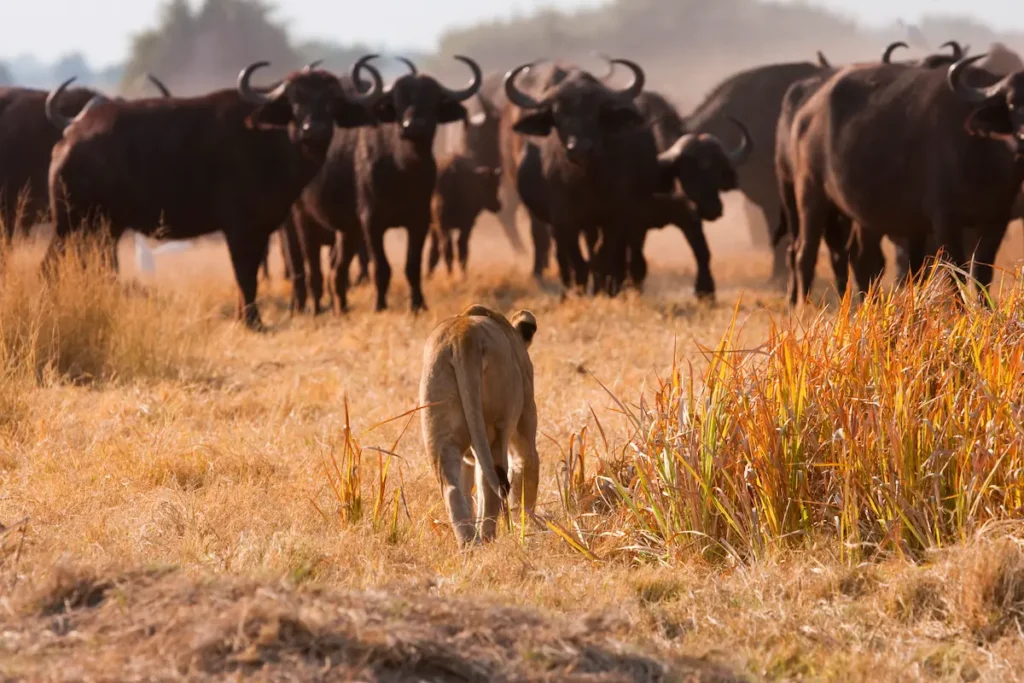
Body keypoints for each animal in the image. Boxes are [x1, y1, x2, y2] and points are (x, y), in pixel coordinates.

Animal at [43, 58, 383, 330]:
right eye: (295, 101)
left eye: (332, 101)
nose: (314, 130)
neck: (271, 143)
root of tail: (70, 139)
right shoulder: (238, 226)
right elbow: (244, 272)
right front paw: (253, 321)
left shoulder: (262, 228)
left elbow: (250, 272)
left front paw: (246, 316)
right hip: (68, 222)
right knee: (50, 264)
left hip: (104, 226)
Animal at [419, 304, 539, 546]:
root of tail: (462, 336)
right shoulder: (525, 422)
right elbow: (526, 466)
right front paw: (525, 526)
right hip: (495, 429)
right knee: (492, 484)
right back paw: (487, 539)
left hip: (440, 434)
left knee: (452, 489)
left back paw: (469, 544)